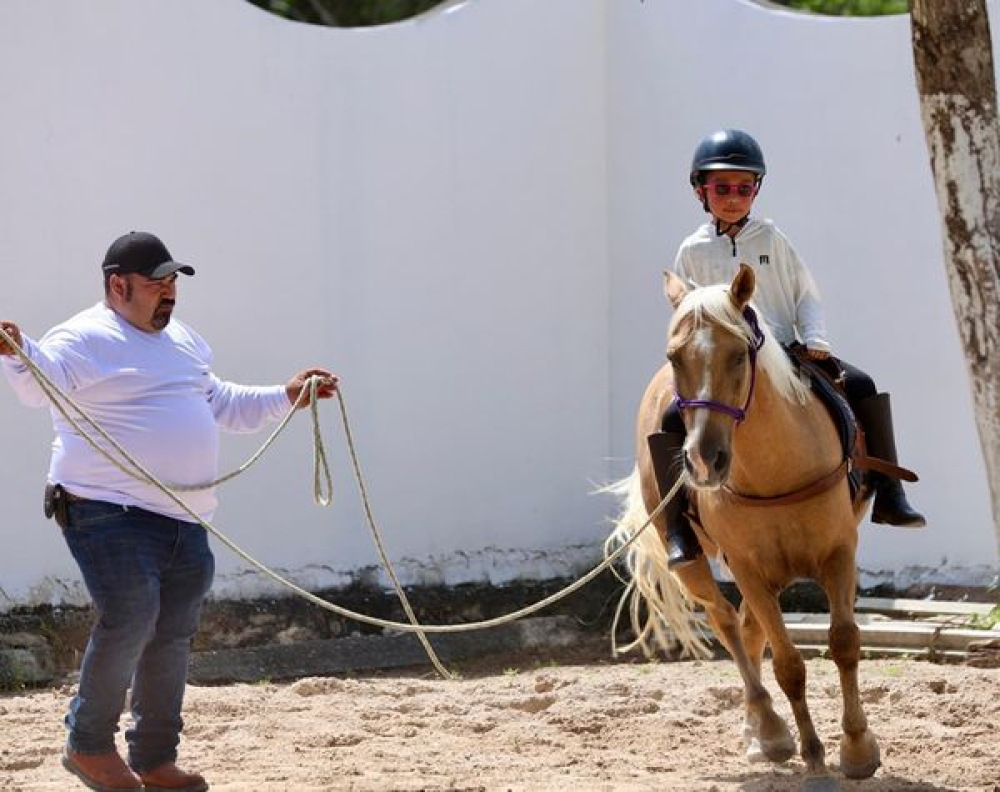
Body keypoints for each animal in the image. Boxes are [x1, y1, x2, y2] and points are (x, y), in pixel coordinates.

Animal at [608, 264, 884, 784]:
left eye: (738, 354)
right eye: (674, 356)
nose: (703, 460)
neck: (777, 469)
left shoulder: (840, 552)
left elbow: (843, 643)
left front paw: (858, 749)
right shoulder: (748, 568)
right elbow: (789, 665)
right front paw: (813, 755)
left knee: (748, 629)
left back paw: (761, 730)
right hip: (704, 566)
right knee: (727, 624)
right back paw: (768, 728)